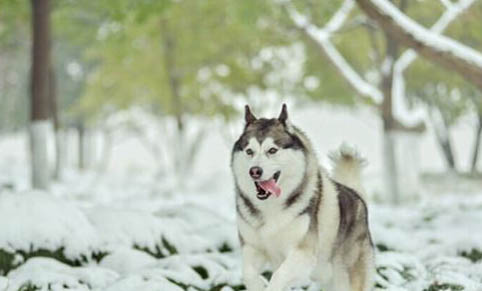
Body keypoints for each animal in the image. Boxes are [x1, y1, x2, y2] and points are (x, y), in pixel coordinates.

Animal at [232, 105, 374, 291]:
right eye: (249, 151)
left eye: (272, 150)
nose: (254, 171)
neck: (271, 207)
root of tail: (357, 196)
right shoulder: (252, 247)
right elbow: (247, 273)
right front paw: (258, 284)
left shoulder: (302, 253)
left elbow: (279, 276)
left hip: (345, 278)